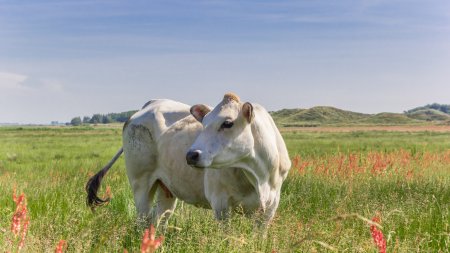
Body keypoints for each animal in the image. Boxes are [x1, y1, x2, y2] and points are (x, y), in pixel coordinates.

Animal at [86, 93, 292, 227]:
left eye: (228, 123)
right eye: (204, 122)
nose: (190, 155)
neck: (258, 176)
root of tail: (149, 104)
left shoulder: (270, 207)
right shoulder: (221, 205)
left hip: (166, 189)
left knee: (158, 220)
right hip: (140, 184)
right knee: (143, 221)